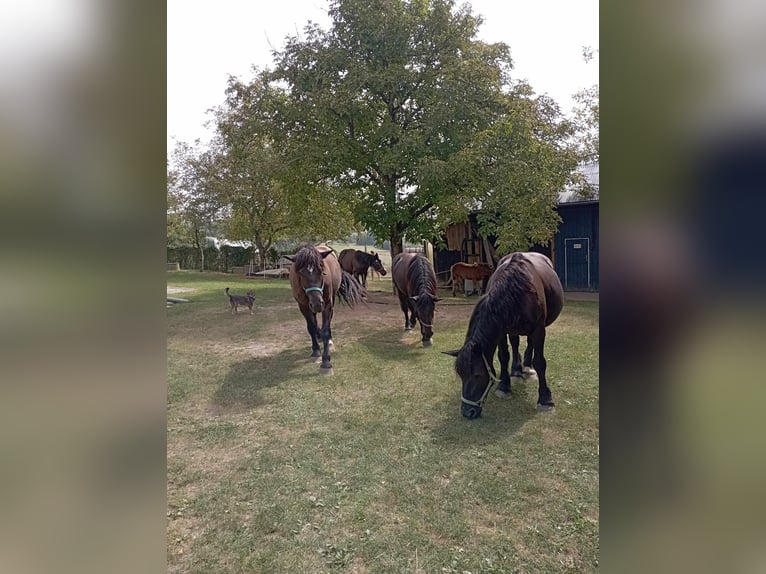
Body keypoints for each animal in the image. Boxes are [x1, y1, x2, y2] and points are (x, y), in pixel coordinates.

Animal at [286, 245, 368, 376]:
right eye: (301, 273)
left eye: (321, 272)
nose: (317, 304)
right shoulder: (303, 306)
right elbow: (311, 327)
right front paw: (316, 351)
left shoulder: (327, 304)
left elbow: (325, 330)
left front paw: (326, 362)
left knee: (328, 322)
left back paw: (329, 340)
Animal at [444, 252, 564, 418]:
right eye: (461, 375)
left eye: (477, 375)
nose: (467, 412)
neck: (517, 290)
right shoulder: (501, 331)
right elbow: (503, 357)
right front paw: (504, 386)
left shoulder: (539, 329)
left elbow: (540, 362)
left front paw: (545, 399)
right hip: (513, 330)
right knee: (515, 344)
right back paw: (516, 371)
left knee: (530, 344)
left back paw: (527, 367)